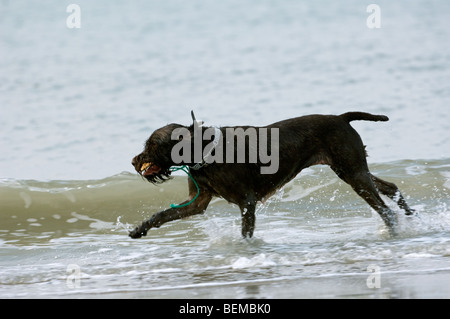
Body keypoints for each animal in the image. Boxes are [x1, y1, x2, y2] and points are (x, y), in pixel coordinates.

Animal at [128, 111, 414, 239]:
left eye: (153, 145)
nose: (133, 161)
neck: (205, 152)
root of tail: (342, 118)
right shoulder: (197, 202)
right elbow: (162, 214)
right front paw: (139, 229)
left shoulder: (247, 202)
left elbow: (246, 232)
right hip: (354, 171)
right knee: (390, 187)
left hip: (354, 174)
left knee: (384, 209)